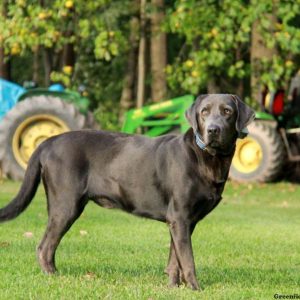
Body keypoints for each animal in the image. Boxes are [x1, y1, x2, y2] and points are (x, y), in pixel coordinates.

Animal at [0, 94, 254, 290]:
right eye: (204, 112)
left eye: (227, 111)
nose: (213, 129)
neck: (208, 159)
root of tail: (47, 142)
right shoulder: (180, 217)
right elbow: (188, 260)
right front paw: (195, 289)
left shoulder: (181, 221)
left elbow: (175, 258)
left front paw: (174, 287)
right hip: (66, 206)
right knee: (44, 247)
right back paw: (53, 277)